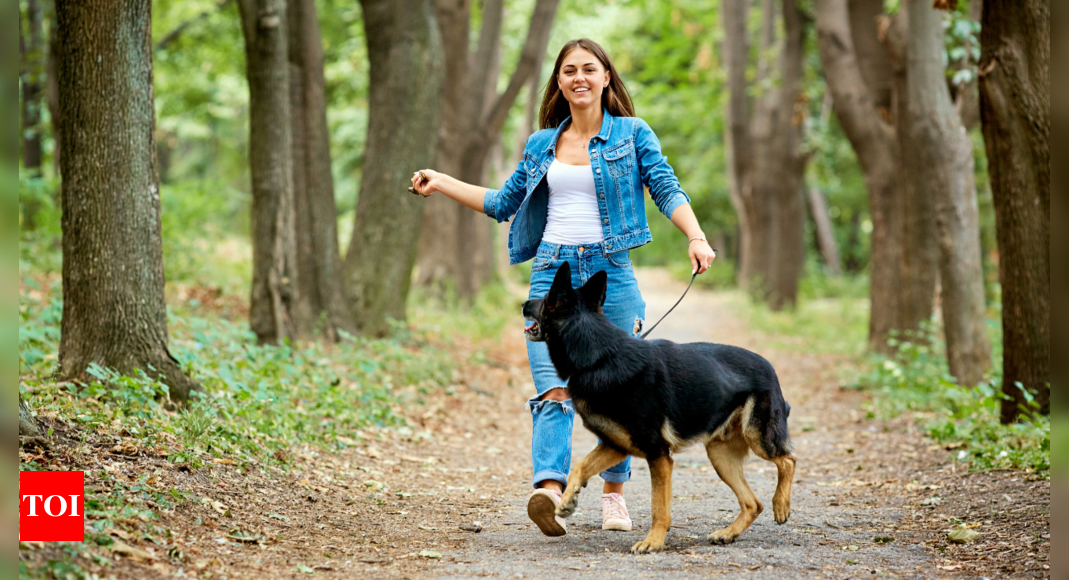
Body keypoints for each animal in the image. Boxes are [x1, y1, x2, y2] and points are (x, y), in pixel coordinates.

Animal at [521, 262, 799, 555]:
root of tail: (770, 368)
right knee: (753, 503)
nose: (523, 303)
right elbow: (580, 466)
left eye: (544, 299)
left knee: (788, 460)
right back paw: (728, 533)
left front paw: (653, 541)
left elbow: (658, 506)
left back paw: (781, 505)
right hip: (719, 455)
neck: (599, 357)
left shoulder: (658, 454)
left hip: (758, 437)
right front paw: (566, 500)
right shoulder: (615, 446)